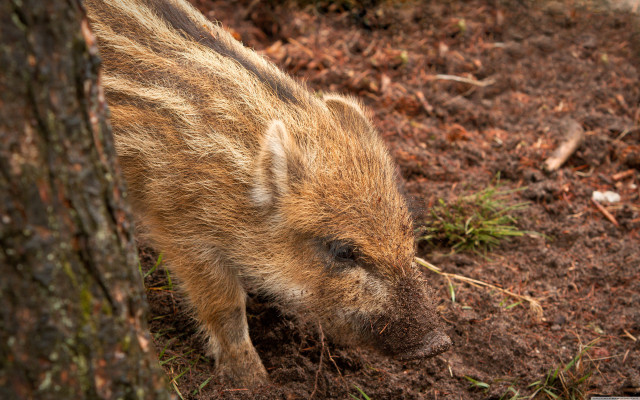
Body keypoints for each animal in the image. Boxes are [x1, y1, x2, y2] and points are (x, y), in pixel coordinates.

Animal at [85, 0, 451, 386]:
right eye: (342, 251)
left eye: (408, 234)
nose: (437, 343)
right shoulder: (180, 226)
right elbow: (225, 303)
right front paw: (252, 380)